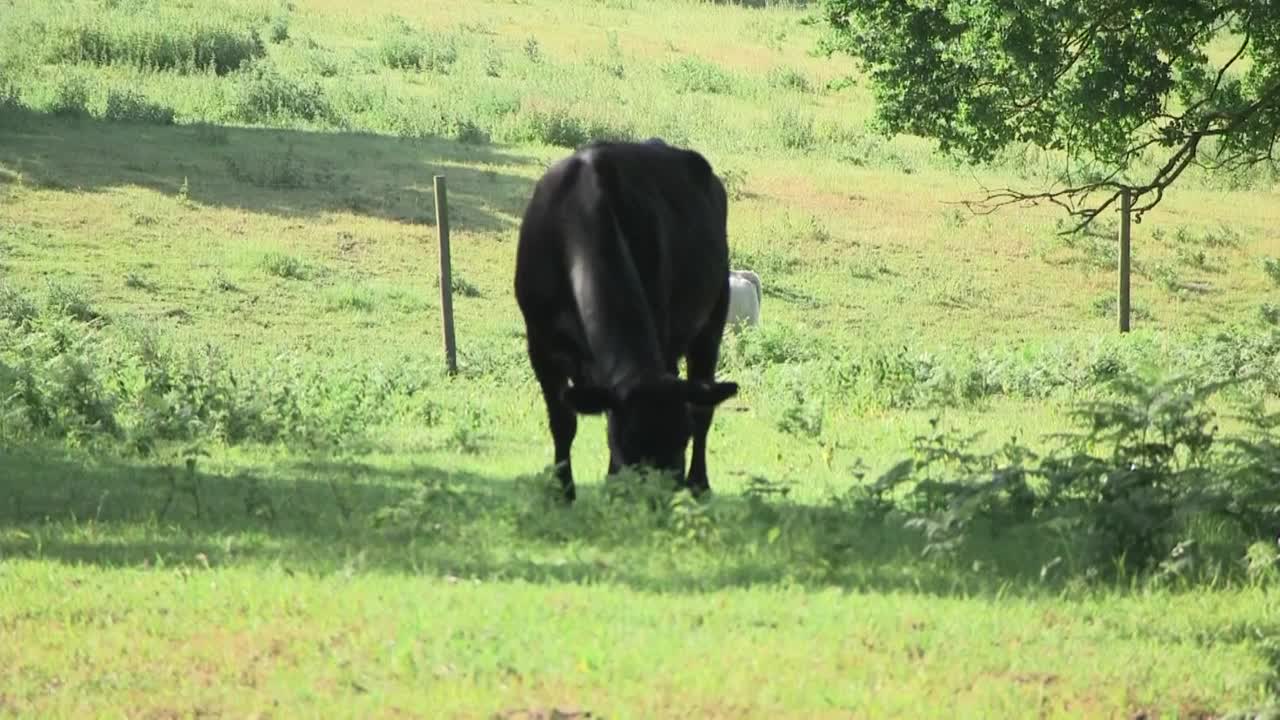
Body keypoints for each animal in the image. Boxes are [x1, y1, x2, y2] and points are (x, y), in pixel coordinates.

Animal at [514, 139, 742, 499]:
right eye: (628, 442)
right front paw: (563, 491)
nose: (659, 496)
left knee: (703, 406)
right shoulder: (541, 345)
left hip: (712, 320)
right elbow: (563, 422)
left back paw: (699, 483)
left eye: (682, 439)